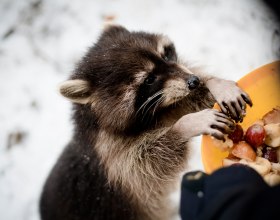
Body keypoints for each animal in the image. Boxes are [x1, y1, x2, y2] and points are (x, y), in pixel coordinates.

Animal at [40, 24, 253, 219]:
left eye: (166, 56)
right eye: (149, 79)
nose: (193, 81)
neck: (154, 114)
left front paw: (213, 84)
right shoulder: (112, 156)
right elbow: (148, 163)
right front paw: (185, 125)